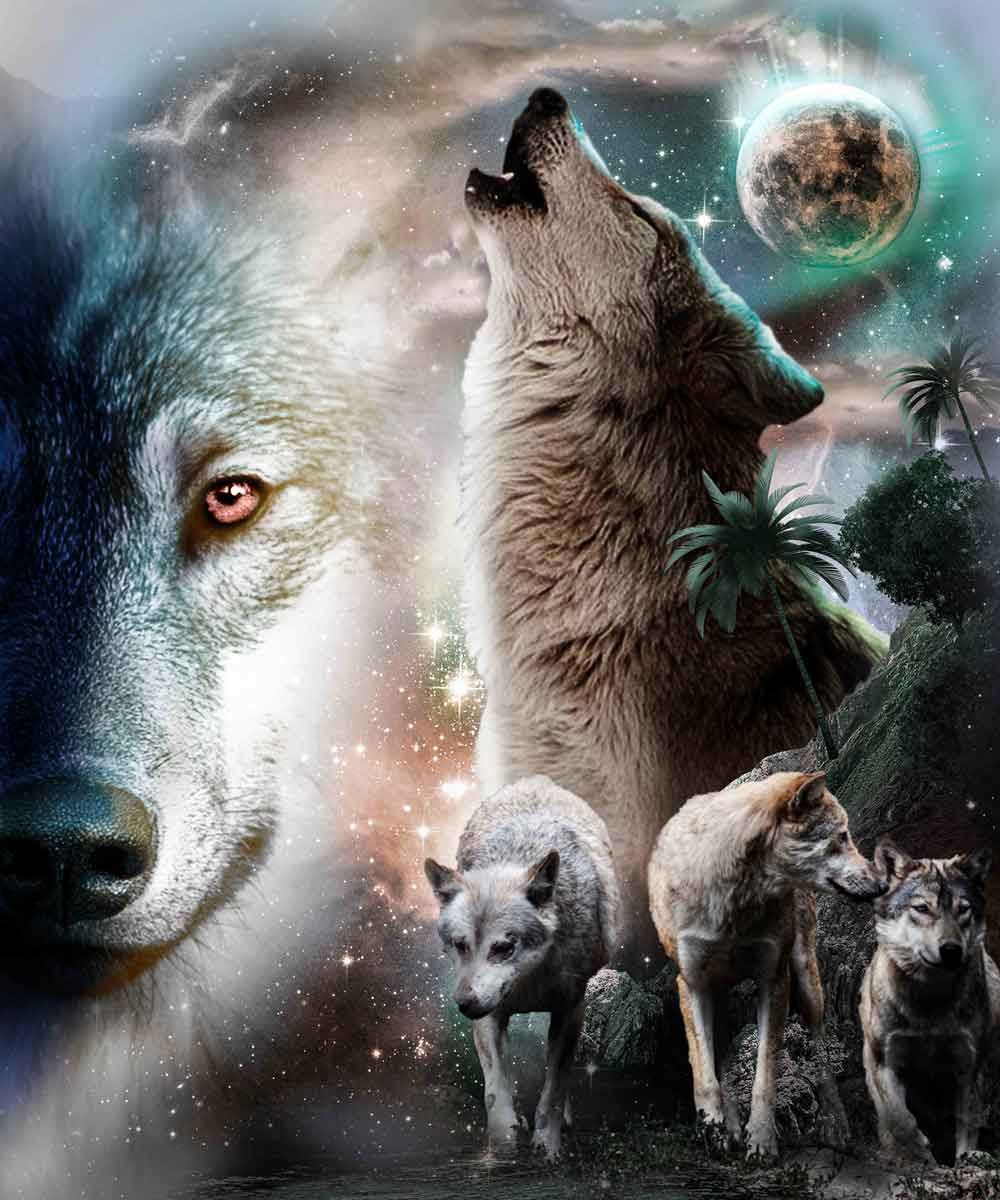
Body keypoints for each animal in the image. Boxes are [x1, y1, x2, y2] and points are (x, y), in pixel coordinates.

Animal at [424, 774, 620, 1159]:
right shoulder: (489, 1018)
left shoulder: (570, 1009)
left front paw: (548, 1148)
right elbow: (495, 1093)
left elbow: (554, 1090)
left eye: (503, 947)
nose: (464, 1003)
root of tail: (536, 780)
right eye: (460, 945)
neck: (529, 984)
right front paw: (503, 1148)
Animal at [648, 770, 886, 1158]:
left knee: (820, 1049)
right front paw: (712, 1126)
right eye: (842, 836)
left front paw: (761, 1139)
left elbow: (765, 1073)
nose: (882, 884)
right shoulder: (691, 983)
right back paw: (728, 1126)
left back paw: (835, 1123)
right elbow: (704, 1071)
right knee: (723, 1059)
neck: (734, 901)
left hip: (807, 981)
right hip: (720, 992)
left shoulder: (774, 979)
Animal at [860, 840, 999, 1166]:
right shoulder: (883, 1061)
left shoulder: (969, 1067)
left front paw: (963, 1159)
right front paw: (918, 1154)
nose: (951, 950)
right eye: (922, 908)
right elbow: (901, 1119)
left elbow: (967, 1123)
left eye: (963, 910)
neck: (929, 1003)